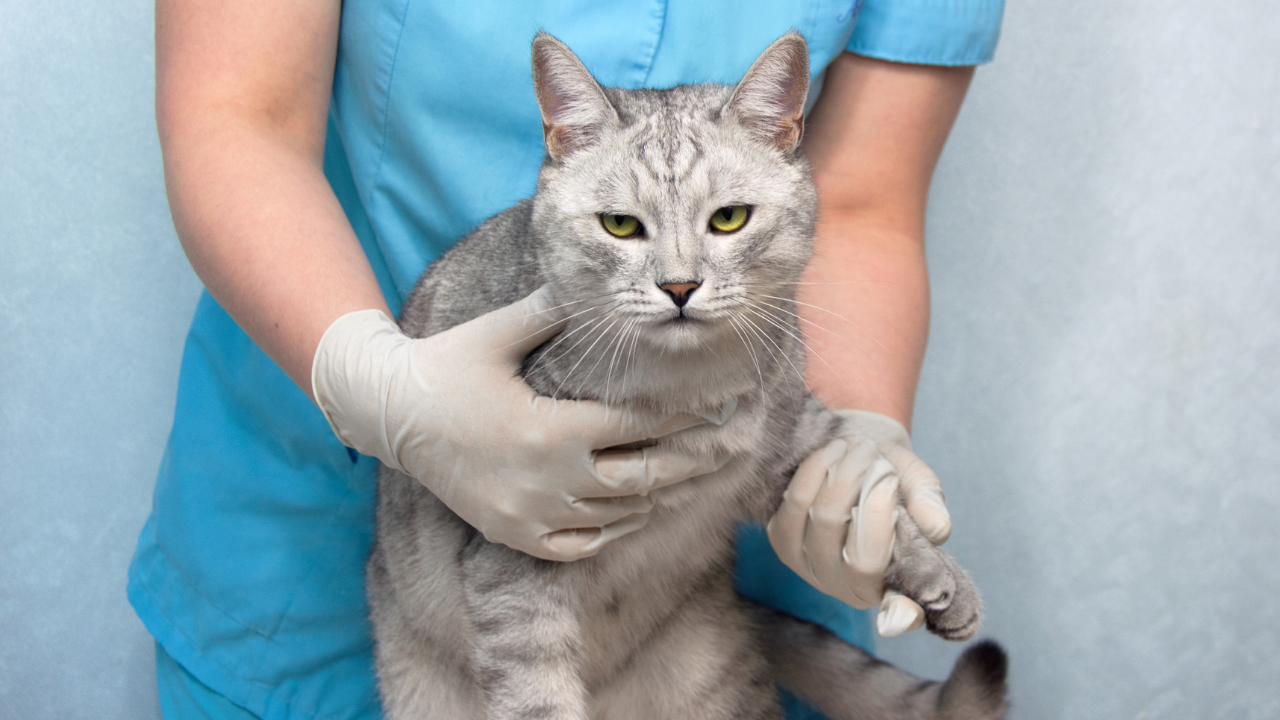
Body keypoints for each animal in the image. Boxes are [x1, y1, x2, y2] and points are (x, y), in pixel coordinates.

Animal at [366, 30, 1003, 717]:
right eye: (620, 225)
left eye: (729, 219)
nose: (678, 287)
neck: (689, 384)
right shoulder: (515, 556)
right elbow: (537, 695)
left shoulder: (792, 430)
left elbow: (865, 482)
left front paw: (934, 571)